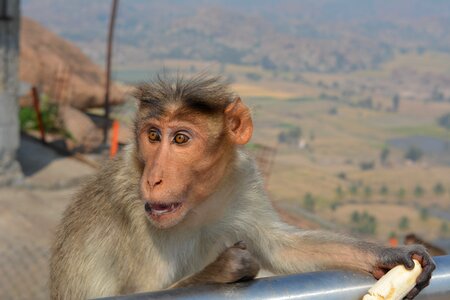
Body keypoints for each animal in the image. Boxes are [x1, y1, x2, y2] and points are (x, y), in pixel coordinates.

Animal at [50, 74, 436, 298]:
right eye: (153, 135)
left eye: (180, 139)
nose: (153, 178)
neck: (198, 205)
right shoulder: (129, 207)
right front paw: (227, 267)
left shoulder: (243, 178)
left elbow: (282, 248)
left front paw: (389, 255)